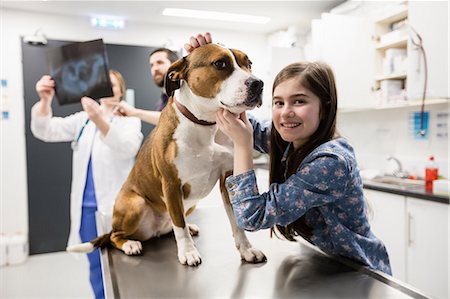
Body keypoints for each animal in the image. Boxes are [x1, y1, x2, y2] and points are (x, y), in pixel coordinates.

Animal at [67, 44, 268, 268]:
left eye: (248, 64)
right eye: (220, 63)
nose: (258, 83)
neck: (205, 124)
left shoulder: (229, 179)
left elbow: (237, 222)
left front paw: (247, 249)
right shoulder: (171, 184)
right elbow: (179, 225)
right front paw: (188, 252)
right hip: (135, 204)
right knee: (114, 236)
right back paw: (129, 244)